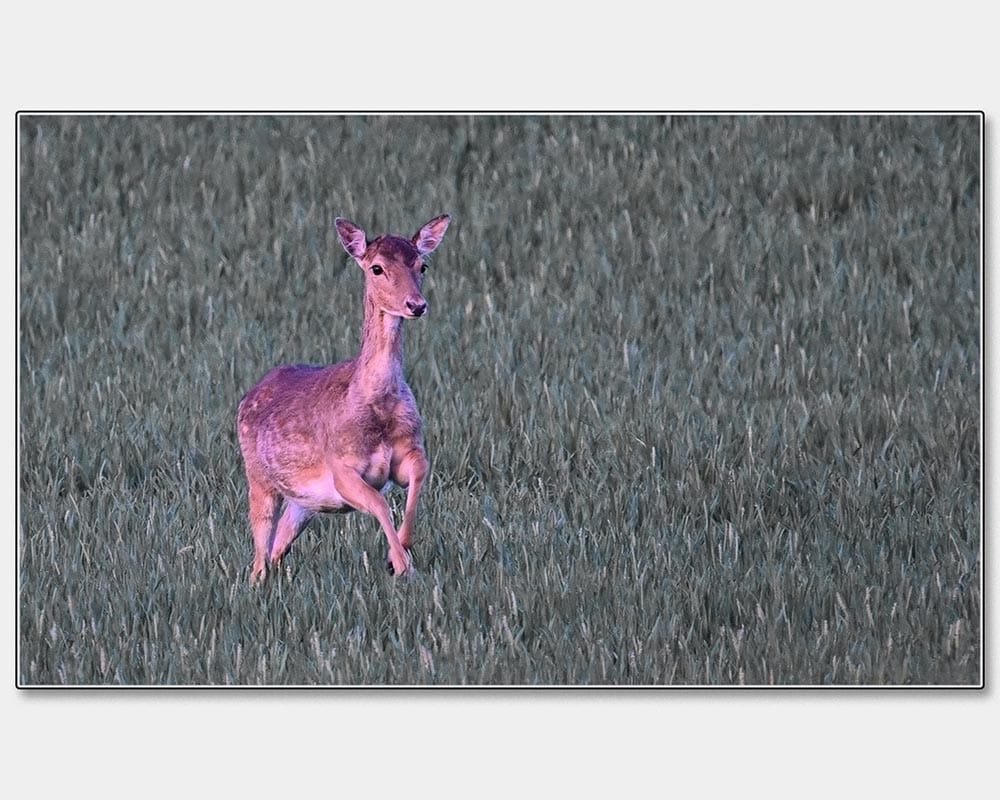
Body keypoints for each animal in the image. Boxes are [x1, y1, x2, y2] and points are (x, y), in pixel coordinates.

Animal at [236, 214, 451, 584]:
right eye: (377, 268)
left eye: (422, 265)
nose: (416, 305)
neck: (377, 409)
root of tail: (250, 394)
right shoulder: (341, 466)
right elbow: (380, 504)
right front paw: (402, 565)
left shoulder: (411, 449)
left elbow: (418, 478)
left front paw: (400, 552)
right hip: (259, 478)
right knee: (260, 548)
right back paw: (256, 581)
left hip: (304, 502)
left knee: (279, 544)